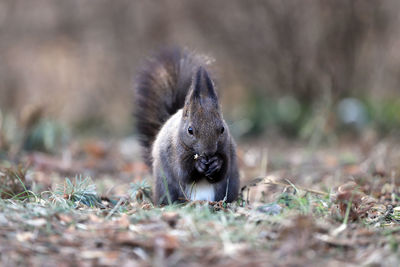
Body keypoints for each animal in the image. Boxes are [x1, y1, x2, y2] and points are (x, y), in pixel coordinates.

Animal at [136, 48, 239, 206]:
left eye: (222, 129)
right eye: (190, 130)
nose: (209, 153)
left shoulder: (226, 148)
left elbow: (223, 171)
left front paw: (216, 163)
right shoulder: (175, 151)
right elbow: (183, 173)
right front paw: (198, 165)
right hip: (166, 186)